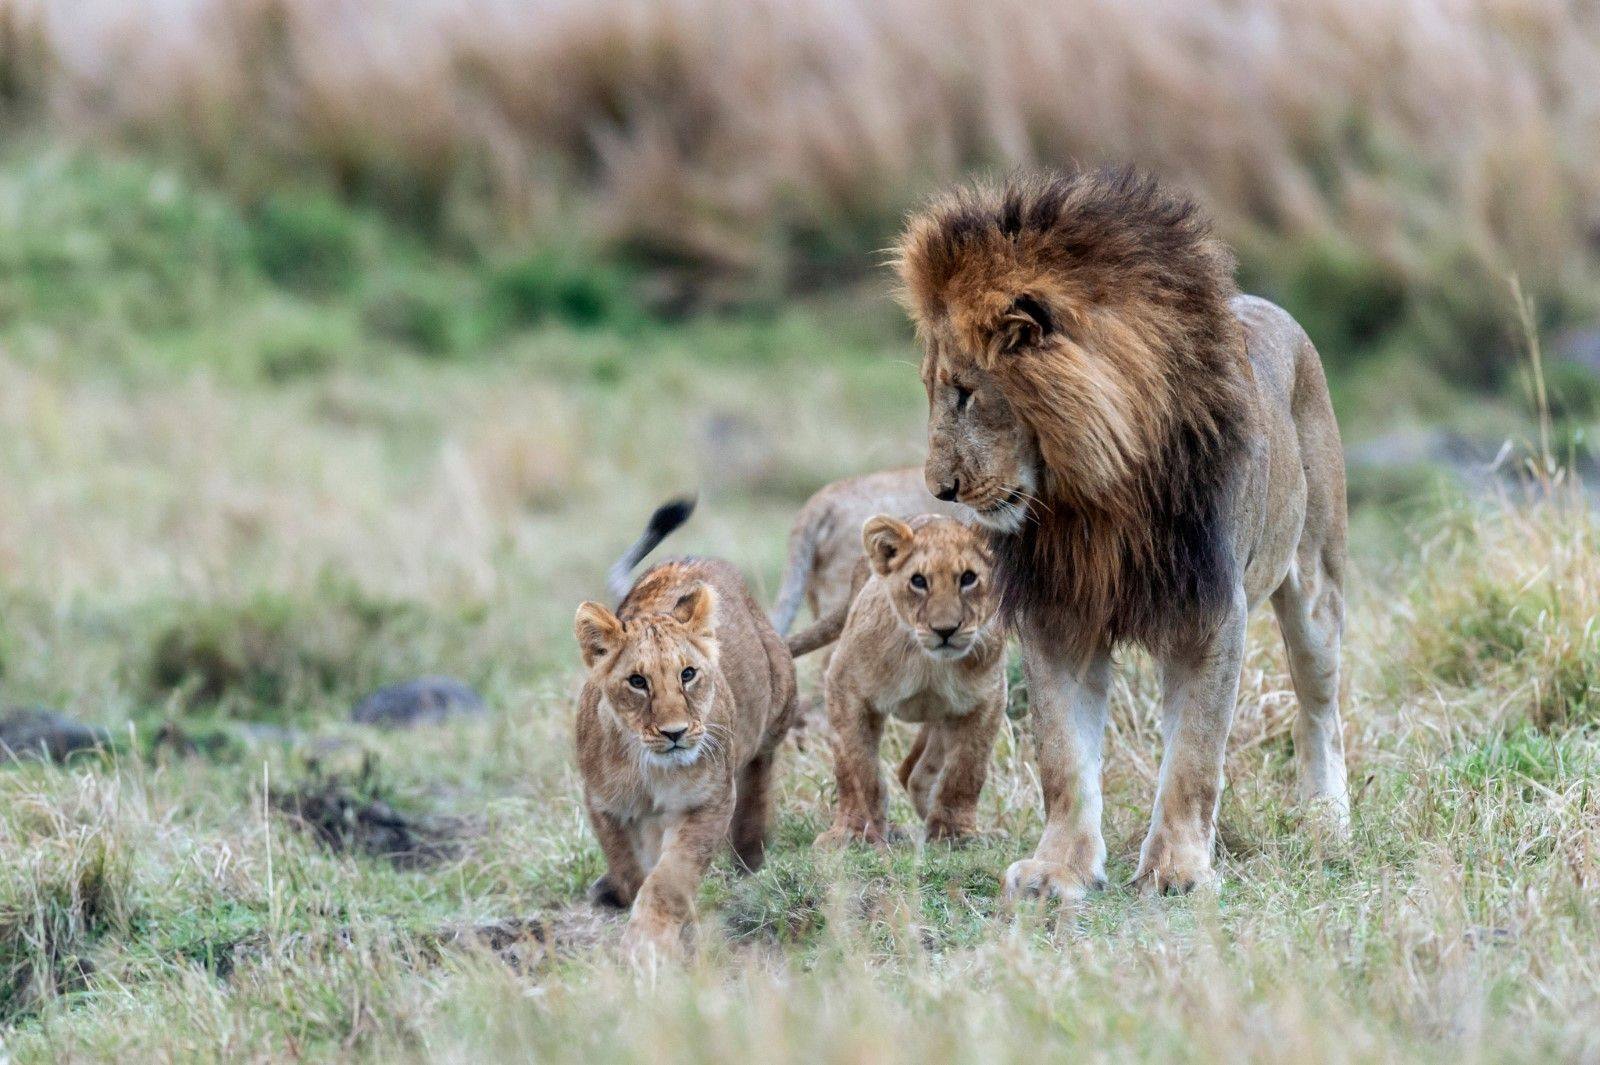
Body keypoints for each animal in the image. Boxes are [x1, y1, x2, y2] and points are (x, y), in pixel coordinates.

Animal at [574, 499, 797, 952]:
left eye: (688, 674)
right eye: (637, 682)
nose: (674, 732)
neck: (649, 768)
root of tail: (694, 557)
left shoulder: (709, 800)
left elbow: (671, 877)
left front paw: (649, 940)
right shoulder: (604, 805)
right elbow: (629, 867)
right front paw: (632, 906)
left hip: (779, 696)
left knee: (760, 768)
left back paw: (750, 850)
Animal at [787, 514, 1007, 846]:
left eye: (968, 578)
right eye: (919, 581)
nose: (945, 630)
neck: (929, 663)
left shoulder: (988, 699)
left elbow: (966, 768)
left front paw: (957, 832)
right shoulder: (844, 686)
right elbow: (857, 766)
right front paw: (853, 832)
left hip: (944, 715)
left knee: (916, 771)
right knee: (909, 771)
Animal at [895, 166, 1349, 898]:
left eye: (966, 391)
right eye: (934, 390)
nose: (941, 489)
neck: (1096, 492)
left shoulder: (1210, 612)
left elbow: (1194, 755)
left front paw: (1179, 870)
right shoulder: (1058, 613)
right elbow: (1063, 758)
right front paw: (1059, 869)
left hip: (1315, 583)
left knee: (1320, 708)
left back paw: (1327, 822)